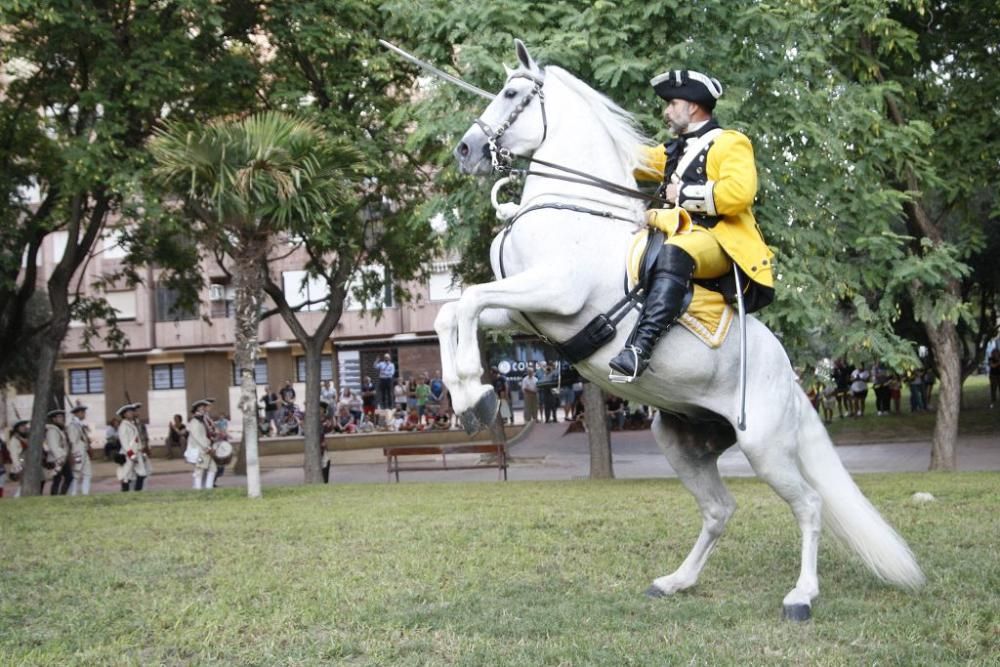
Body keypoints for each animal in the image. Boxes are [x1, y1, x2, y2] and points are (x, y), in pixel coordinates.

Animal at [434, 40, 924, 620]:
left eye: (512, 93)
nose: (465, 150)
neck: (575, 210)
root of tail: (790, 379)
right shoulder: (523, 311)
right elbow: (453, 312)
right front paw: (469, 399)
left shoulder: (553, 293)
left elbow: (466, 302)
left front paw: (476, 393)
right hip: (680, 441)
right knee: (719, 509)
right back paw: (676, 581)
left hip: (765, 446)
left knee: (808, 504)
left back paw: (801, 596)